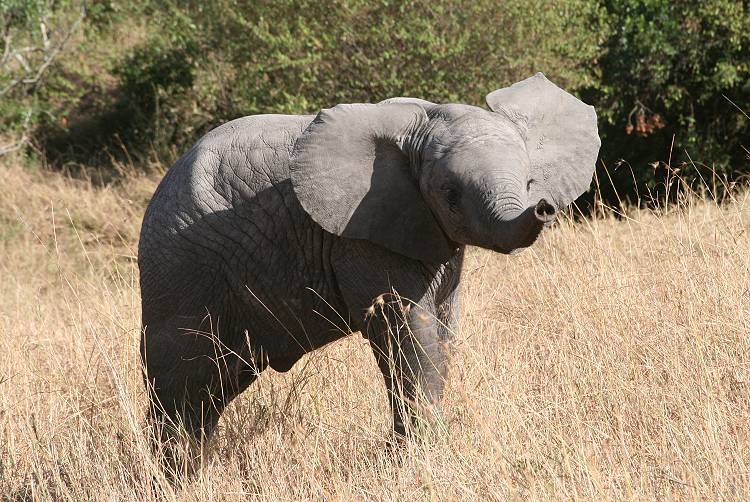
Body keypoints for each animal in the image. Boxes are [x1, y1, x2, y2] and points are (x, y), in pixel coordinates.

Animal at [138, 72, 604, 452]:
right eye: (450, 195)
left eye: (529, 182)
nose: (543, 207)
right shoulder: (362, 237)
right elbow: (407, 329)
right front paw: (417, 455)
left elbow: (443, 328)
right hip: (181, 273)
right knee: (184, 387)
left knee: (215, 389)